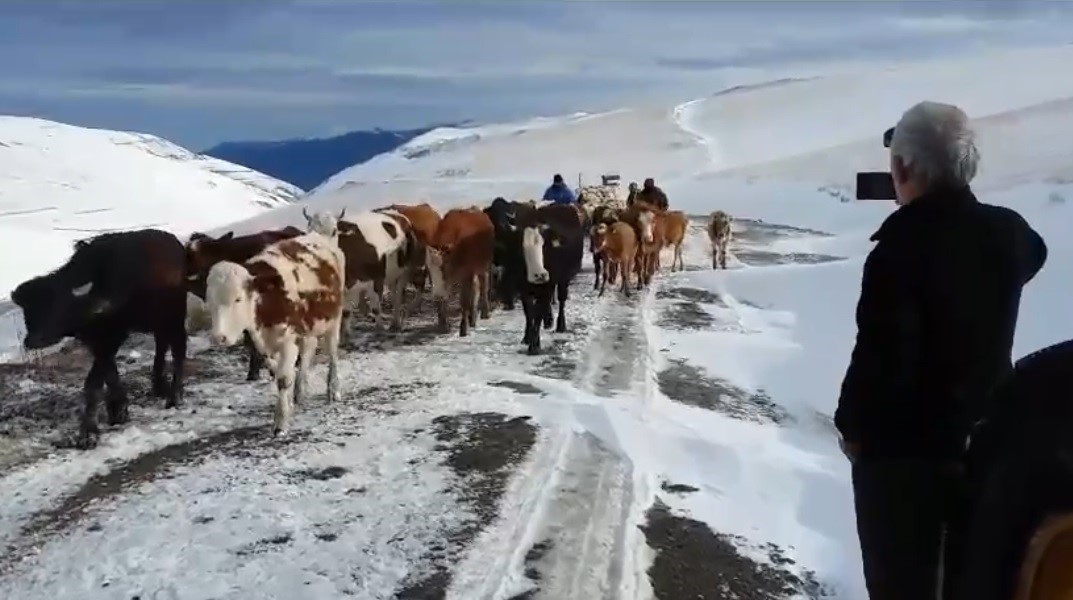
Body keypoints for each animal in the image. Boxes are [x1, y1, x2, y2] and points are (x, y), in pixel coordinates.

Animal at [13, 227, 188, 448]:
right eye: (27, 311)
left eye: (58, 305)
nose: (32, 341)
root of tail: (175, 244)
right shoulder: (96, 341)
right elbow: (110, 374)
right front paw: (118, 410)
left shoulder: (112, 337)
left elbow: (93, 382)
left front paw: (88, 433)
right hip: (158, 321)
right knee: (162, 345)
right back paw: (158, 386)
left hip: (174, 316)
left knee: (178, 348)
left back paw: (174, 396)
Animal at [424, 206, 495, 339]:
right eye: (429, 268)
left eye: (444, 265)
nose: (437, 293)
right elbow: (443, 302)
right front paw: (443, 325)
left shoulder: (466, 274)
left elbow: (464, 301)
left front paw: (463, 328)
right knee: (476, 288)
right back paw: (472, 318)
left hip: (483, 266)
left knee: (483, 287)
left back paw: (484, 313)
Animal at [515, 203, 583, 354]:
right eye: (523, 247)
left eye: (544, 245)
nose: (539, 275)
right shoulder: (522, 288)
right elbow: (529, 312)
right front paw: (527, 337)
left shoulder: (547, 287)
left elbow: (538, 313)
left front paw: (534, 346)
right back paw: (548, 320)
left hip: (563, 278)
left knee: (561, 299)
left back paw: (560, 325)